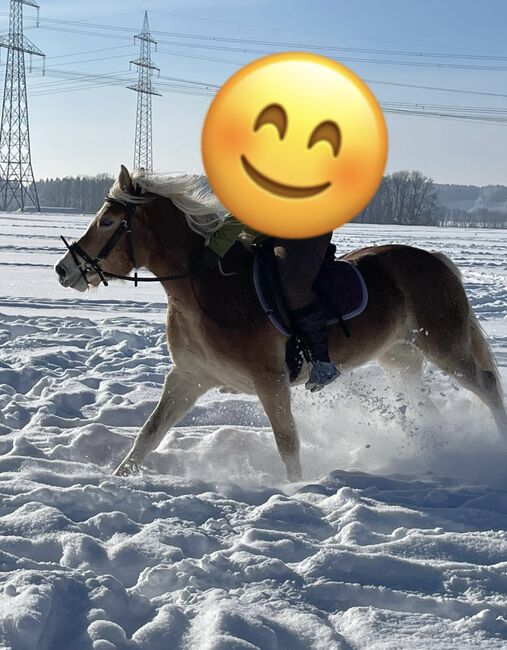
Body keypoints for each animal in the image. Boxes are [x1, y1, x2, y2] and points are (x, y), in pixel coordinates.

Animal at [53, 166, 506, 480]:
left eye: (107, 221)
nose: (63, 269)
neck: (206, 290)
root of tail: (435, 260)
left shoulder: (269, 382)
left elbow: (287, 443)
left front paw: (296, 490)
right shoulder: (189, 377)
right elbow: (150, 431)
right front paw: (119, 479)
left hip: (444, 346)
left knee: (486, 385)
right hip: (400, 357)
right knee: (426, 403)